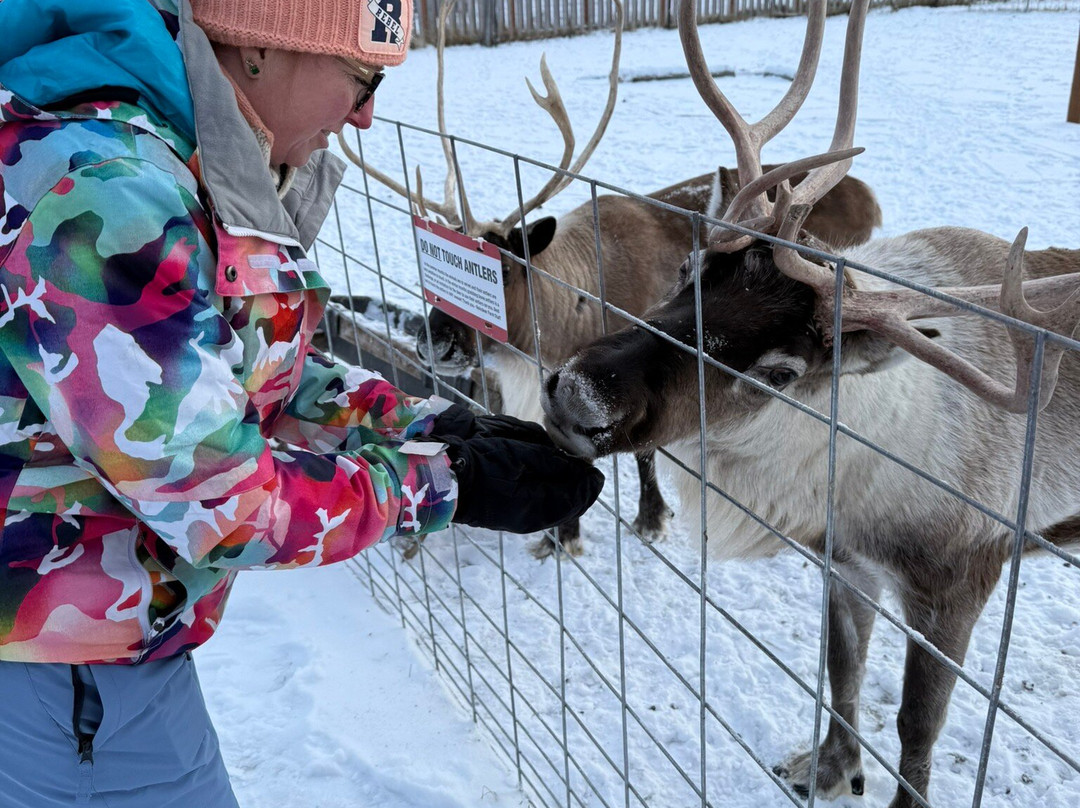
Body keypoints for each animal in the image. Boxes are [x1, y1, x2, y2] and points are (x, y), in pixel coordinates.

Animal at [339, 0, 880, 559]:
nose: (433, 341)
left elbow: (641, 454)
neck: (564, 316)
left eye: (504, 270)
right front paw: (559, 533)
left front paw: (645, 518)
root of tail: (867, 193)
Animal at [541, 0, 1080, 806]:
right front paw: (829, 769)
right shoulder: (845, 560)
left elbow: (919, 726)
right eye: (688, 270)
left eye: (779, 372)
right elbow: (842, 667)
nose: (578, 392)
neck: (860, 473)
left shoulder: (957, 581)